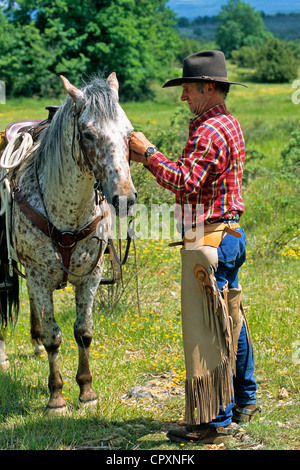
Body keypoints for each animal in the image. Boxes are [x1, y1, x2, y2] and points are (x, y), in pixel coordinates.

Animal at [0, 72, 137, 412]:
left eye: (129, 133)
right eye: (88, 134)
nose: (125, 198)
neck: (68, 212)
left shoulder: (90, 276)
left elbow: (83, 332)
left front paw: (86, 391)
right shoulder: (39, 275)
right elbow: (54, 336)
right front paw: (56, 398)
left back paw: (34, 343)